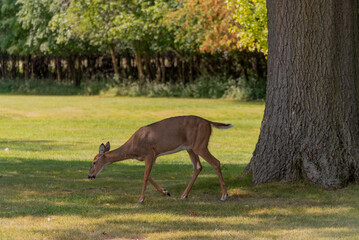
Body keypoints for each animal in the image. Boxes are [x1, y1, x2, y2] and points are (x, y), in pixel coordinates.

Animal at [87, 115, 233, 202]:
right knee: (198, 167)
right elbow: (148, 175)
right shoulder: (154, 155)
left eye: (94, 162)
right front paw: (165, 192)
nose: (89, 176)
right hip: (190, 148)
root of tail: (209, 122)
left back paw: (224, 195)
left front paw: (141, 199)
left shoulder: (149, 153)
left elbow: (145, 176)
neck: (133, 148)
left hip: (200, 145)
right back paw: (184, 195)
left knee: (216, 162)